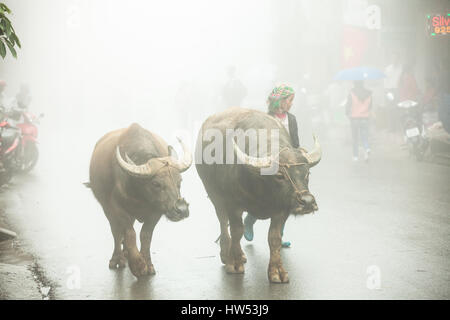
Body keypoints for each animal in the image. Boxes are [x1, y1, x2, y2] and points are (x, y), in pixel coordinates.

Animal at [89, 122, 192, 278]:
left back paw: (126, 253)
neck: (140, 194)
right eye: (156, 184)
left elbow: (146, 235)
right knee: (115, 230)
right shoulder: (116, 207)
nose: (182, 209)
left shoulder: (156, 211)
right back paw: (118, 258)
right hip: (106, 207)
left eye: (179, 181)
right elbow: (129, 233)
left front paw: (148, 264)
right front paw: (138, 266)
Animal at [196, 107, 320, 282]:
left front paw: (277, 272)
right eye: (280, 175)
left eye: (307, 173)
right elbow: (237, 231)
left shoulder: (282, 209)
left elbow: (274, 238)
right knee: (223, 223)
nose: (307, 201)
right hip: (214, 195)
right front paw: (234, 264)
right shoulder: (233, 205)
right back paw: (227, 254)